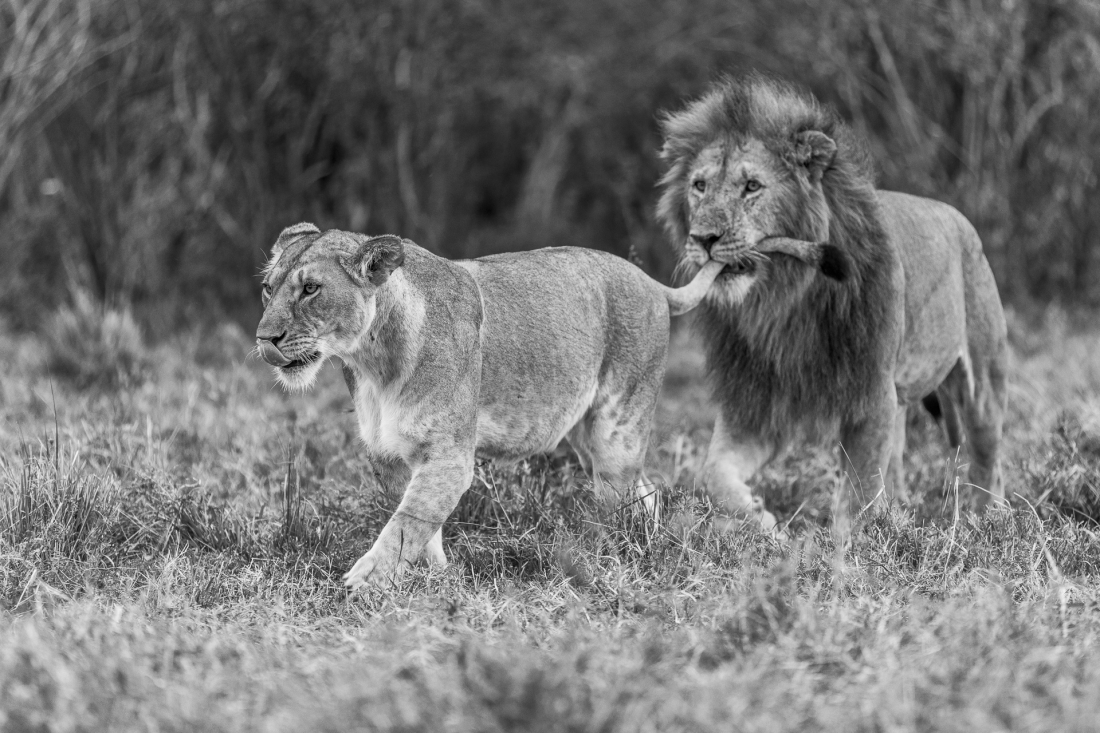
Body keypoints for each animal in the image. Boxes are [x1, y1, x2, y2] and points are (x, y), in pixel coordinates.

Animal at [254, 224, 842, 588]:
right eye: (268, 289)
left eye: (310, 289)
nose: (265, 338)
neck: (371, 362)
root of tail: (650, 282)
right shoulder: (389, 456)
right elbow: (420, 524)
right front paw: (435, 579)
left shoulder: (449, 456)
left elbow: (407, 523)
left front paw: (367, 580)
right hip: (585, 434)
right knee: (646, 492)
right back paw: (651, 545)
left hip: (616, 429)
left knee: (622, 494)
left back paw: (617, 558)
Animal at [656, 74, 1008, 544]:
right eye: (699, 185)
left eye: (752, 186)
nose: (704, 238)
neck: (783, 301)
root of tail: (958, 216)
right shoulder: (757, 403)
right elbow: (714, 473)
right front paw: (762, 521)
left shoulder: (871, 392)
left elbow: (860, 489)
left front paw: (846, 546)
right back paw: (904, 513)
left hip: (982, 379)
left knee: (987, 455)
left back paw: (988, 522)